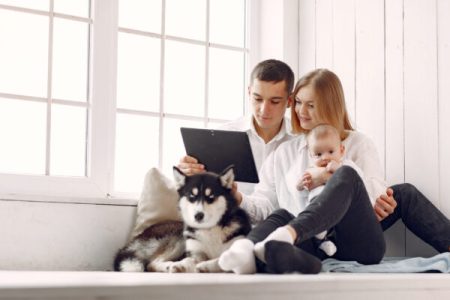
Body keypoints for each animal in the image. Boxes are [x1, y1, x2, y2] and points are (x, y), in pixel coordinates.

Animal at [114, 165, 251, 274]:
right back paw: (169, 265)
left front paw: (205, 266)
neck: (210, 229)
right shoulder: (195, 252)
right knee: (151, 263)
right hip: (179, 238)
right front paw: (182, 264)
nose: (198, 215)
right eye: (191, 196)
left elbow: (222, 259)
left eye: (211, 197)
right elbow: (190, 259)